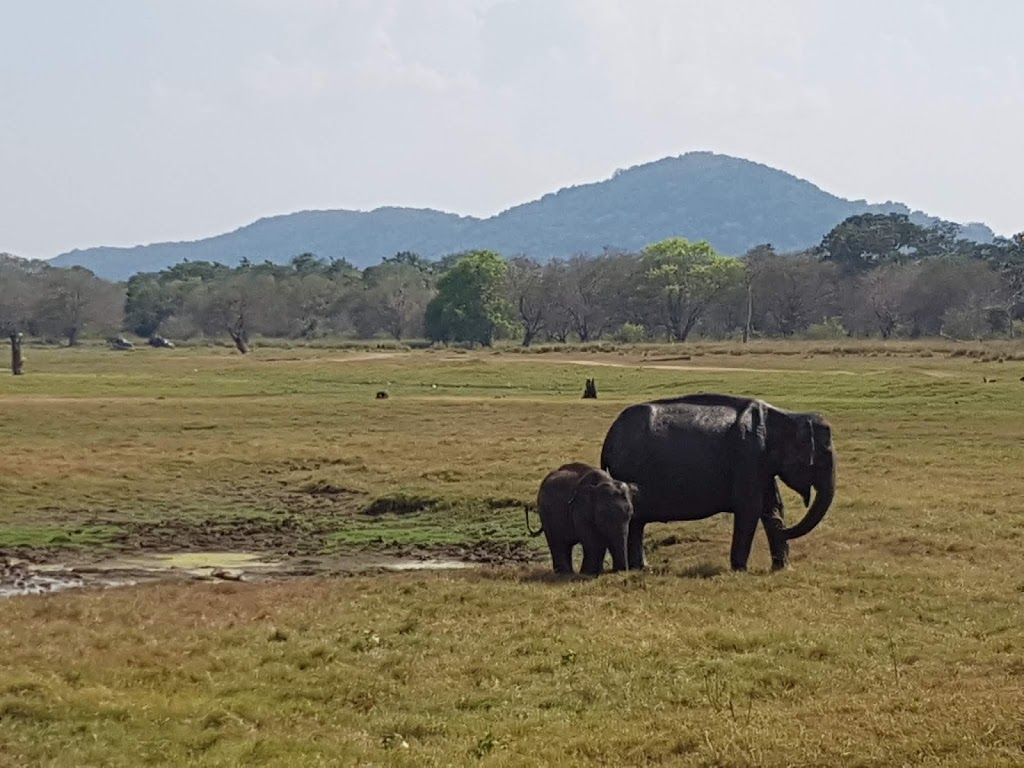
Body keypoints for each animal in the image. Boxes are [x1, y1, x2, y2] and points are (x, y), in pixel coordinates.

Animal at [598, 397, 831, 573]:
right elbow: (750, 508)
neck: (785, 416)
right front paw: (740, 570)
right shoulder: (749, 457)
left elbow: (772, 505)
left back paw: (641, 568)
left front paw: (781, 568)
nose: (782, 526)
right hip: (629, 468)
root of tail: (608, 439)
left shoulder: (761, 466)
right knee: (635, 520)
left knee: (636, 522)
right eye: (822, 458)